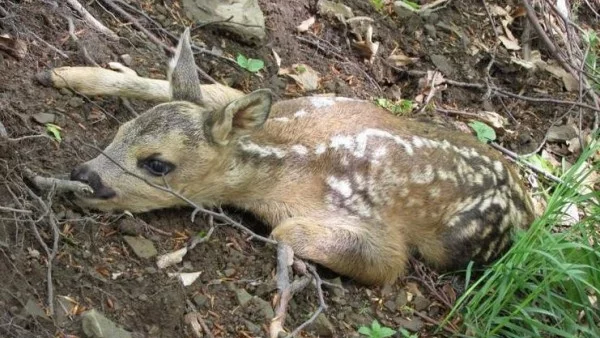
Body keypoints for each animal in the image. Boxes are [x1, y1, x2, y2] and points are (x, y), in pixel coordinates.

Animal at [36, 28, 536, 286]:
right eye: (119, 131)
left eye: (158, 164)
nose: (83, 176)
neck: (285, 160)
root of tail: (530, 207)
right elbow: (207, 90)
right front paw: (71, 74)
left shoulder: (381, 239)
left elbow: (295, 232)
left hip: (458, 243)